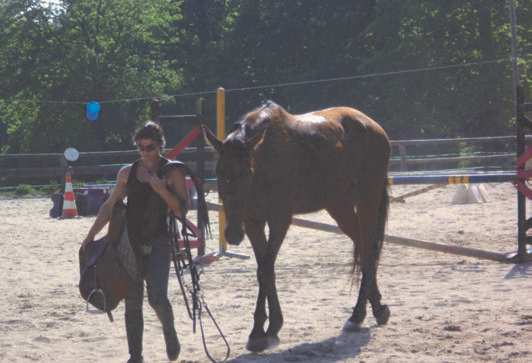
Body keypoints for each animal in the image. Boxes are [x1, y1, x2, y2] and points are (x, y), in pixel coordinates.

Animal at [203, 101, 390, 354]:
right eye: (219, 172)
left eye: (247, 172)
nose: (232, 234)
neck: (265, 161)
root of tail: (374, 126)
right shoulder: (253, 223)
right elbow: (264, 270)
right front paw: (267, 328)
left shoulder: (280, 220)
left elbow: (265, 269)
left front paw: (261, 332)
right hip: (339, 206)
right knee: (363, 248)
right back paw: (374, 308)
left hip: (367, 200)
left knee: (369, 250)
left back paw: (359, 314)